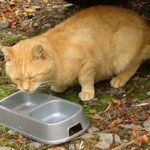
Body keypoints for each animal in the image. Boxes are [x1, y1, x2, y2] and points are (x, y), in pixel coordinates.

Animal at [1, 5, 150, 101]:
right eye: (17, 79)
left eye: (31, 77)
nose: (25, 90)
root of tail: (144, 23)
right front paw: (60, 87)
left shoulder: (88, 62)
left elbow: (85, 79)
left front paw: (86, 92)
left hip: (124, 51)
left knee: (134, 64)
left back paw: (120, 78)